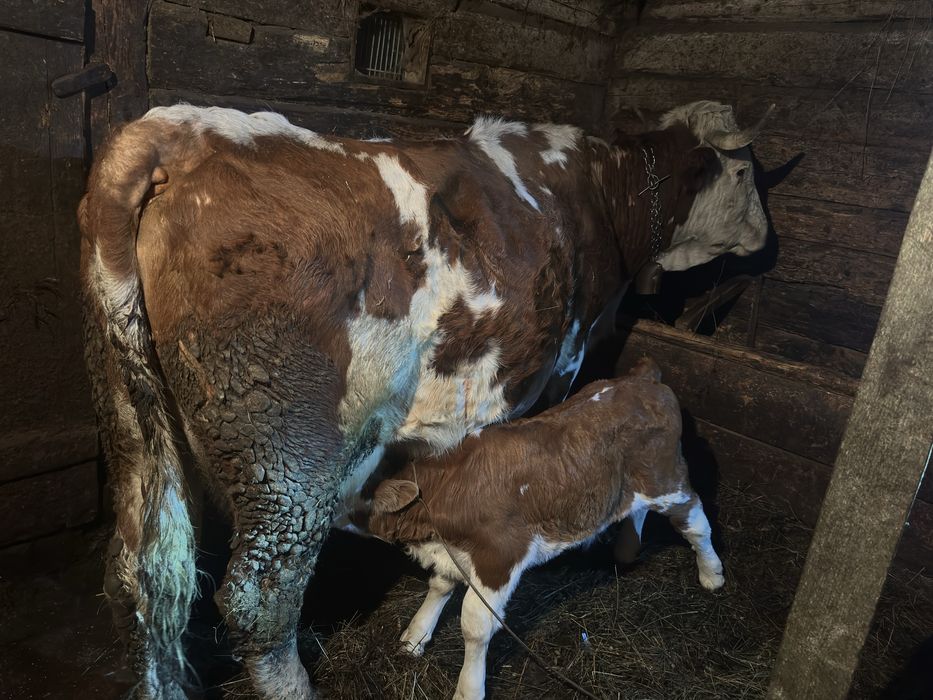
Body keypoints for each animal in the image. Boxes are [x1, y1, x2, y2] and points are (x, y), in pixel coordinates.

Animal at [337, 356, 724, 700]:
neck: (447, 487)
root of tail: (642, 378)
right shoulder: (455, 553)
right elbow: (440, 584)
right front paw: (415, 637)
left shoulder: (500, 556)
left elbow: (475, 624)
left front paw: (468, 689)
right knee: (635, 510)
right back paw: (626, 549)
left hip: (666, 478)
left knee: (695, 522)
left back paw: (711, 574)